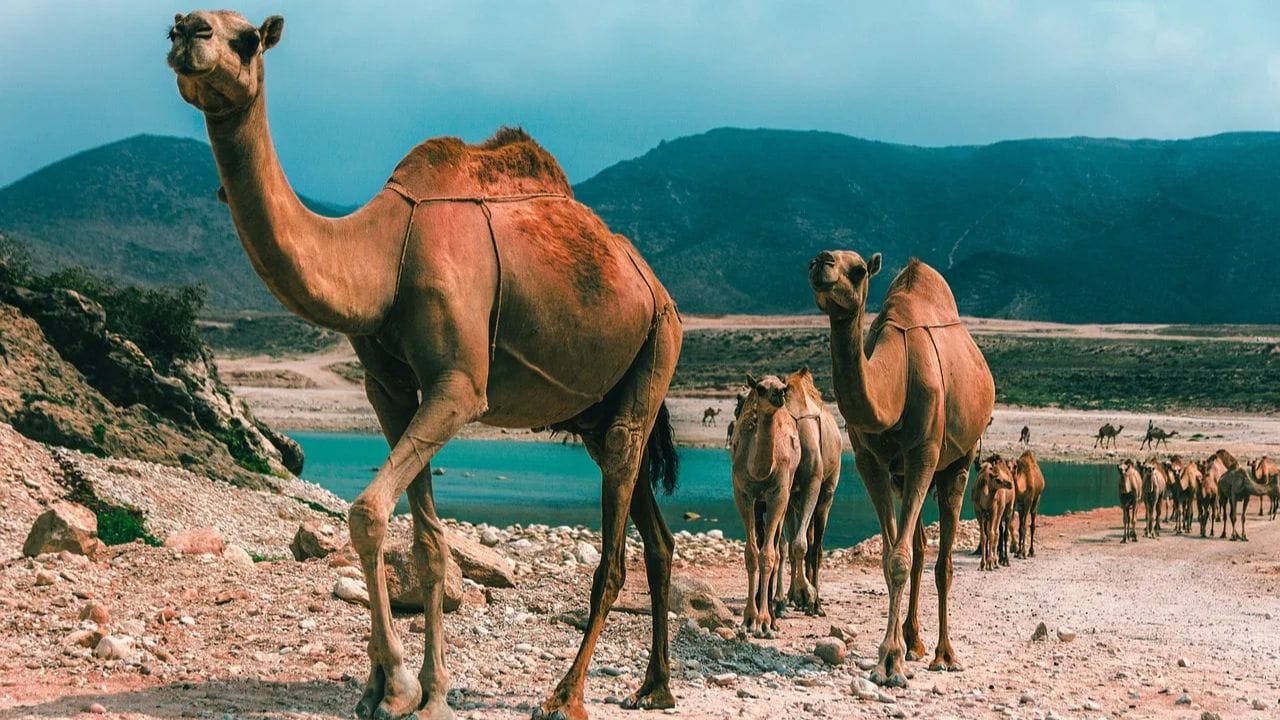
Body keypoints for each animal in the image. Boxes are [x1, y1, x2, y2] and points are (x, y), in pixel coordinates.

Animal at [168, 12, 683, 720]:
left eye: (246, 39)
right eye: (179, 25)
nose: (187, 31)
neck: (385, 254)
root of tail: (653, 285)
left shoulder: (458, 387)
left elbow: (367, 513)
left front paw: (397, 689)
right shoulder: (388, 387)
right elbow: (429, 542)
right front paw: (418, 689)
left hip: (660, 345)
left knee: (616, 545)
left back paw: (565, 696)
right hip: (598, 409)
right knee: (653, 532)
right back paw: (654, 686)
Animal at [729, 375, 801, 638]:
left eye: (783, 387)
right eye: (760, 389)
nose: (779, 394)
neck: (760, 471)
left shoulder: (778, 494)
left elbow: (768, 555)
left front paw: (763, 621)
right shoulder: (743, 493)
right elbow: (751, 553)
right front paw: (748, 619)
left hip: (784, 495)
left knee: (777, 547)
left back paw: (773, 612)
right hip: (759, 504)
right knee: (762, 542)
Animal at [778, 367, 842, 616]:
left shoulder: (810, 490)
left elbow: (803, 545)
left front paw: (805, 597)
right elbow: (797, 544)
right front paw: (802, 597)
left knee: (810, 545)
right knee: (808, 543)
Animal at [810, 251, 995, 686]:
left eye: (858, 269)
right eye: (815, 261)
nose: (821, 262)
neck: (893, 386)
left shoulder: (923, 454)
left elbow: (899, 559)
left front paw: (890, 663)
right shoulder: (870, 462)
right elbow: (890, 556)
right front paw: (894, 654)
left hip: (958, 462)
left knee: (943, 561)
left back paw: (944, 654)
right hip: (906, 476)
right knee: (920, 548)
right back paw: (915, 642)